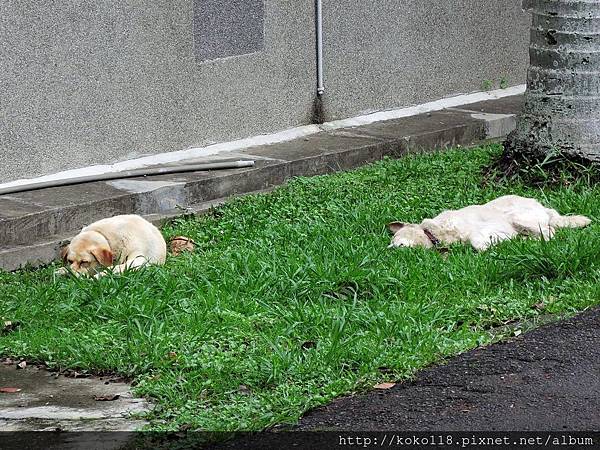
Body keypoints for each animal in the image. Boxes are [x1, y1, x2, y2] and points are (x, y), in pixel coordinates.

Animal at [390, 194, 592, 251]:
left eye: (395, 238)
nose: (389, 248)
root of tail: (544, 208)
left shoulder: (478, 229)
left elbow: (478, 243)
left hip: (517, 217)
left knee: (550, 233)